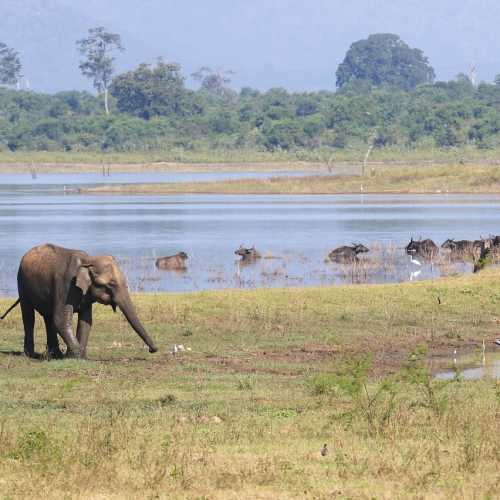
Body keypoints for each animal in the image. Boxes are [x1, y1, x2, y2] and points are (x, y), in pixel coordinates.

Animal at [0, 243, 158, 358]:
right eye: (111, 284)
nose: (152, 350)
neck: (88, 260)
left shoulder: (85, 293)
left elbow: (86, 321)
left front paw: (79, 356)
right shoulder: (65, 285)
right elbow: (61, 319)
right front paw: (76, 356)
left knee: (48, 317)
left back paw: (54, 354)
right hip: (22, 283)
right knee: (29, 316)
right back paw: (31, 354)